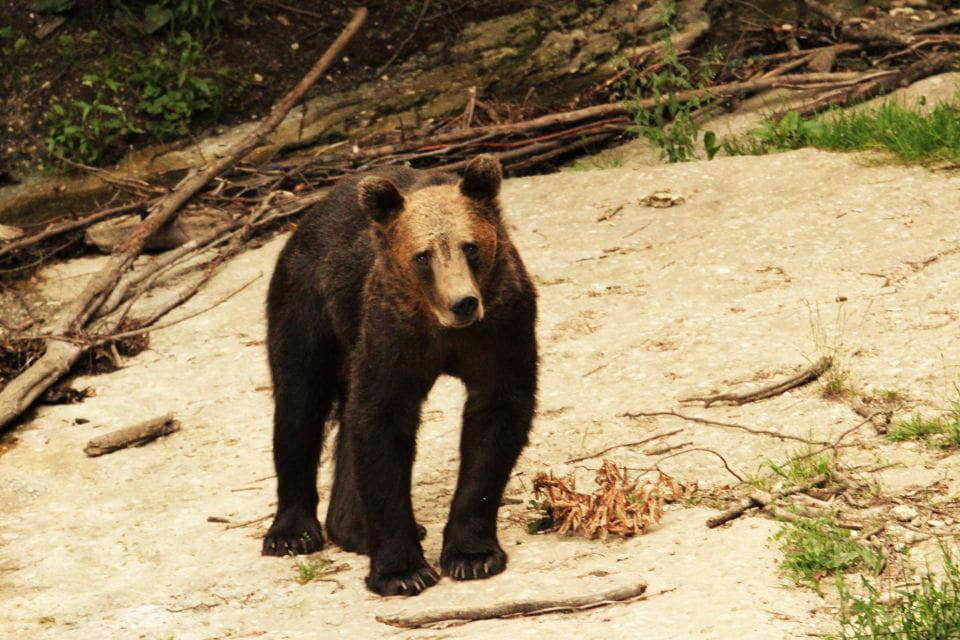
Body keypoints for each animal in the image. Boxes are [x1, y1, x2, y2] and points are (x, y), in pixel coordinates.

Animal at [261, 154, 538, 597]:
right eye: (422, 255)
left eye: (471, 246)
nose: (463, 302)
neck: (442, 329)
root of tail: (305, 220)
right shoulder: (392, 332)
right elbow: (381, 422)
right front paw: (402, 571)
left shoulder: (502, 325)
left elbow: (496, 417)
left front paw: (472, 555)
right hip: (306, 306)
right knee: (299, 405)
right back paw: (291, 532)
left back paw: (352, 529)